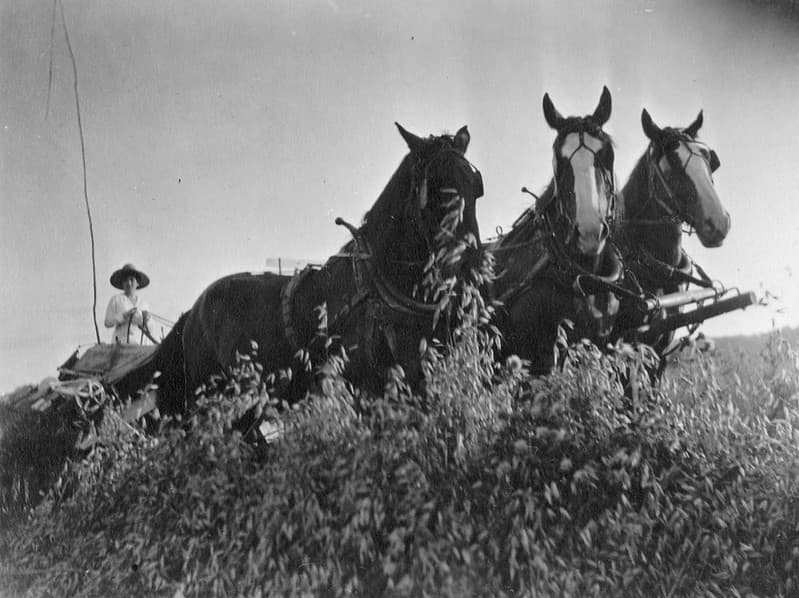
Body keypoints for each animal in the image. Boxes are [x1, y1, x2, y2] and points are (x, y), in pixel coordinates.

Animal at [120, 123, 486, 414]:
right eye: (435, 186)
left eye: (475, 185)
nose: (473, 261)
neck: (377, 286)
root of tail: (192, 312)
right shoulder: (368, 387)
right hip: (208, 396)